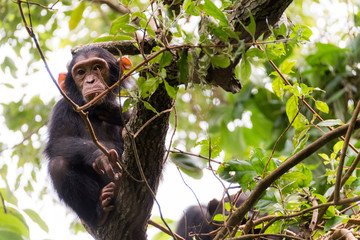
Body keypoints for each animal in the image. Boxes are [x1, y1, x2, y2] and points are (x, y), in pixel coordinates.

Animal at [43, 46, 131, 227]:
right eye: (81, 72)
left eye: (97, 67)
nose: (90, 80)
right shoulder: (62, 108)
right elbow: (59, 141)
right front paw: (100, 156)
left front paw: (117, 114)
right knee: (58, 165)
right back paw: (100, 210)